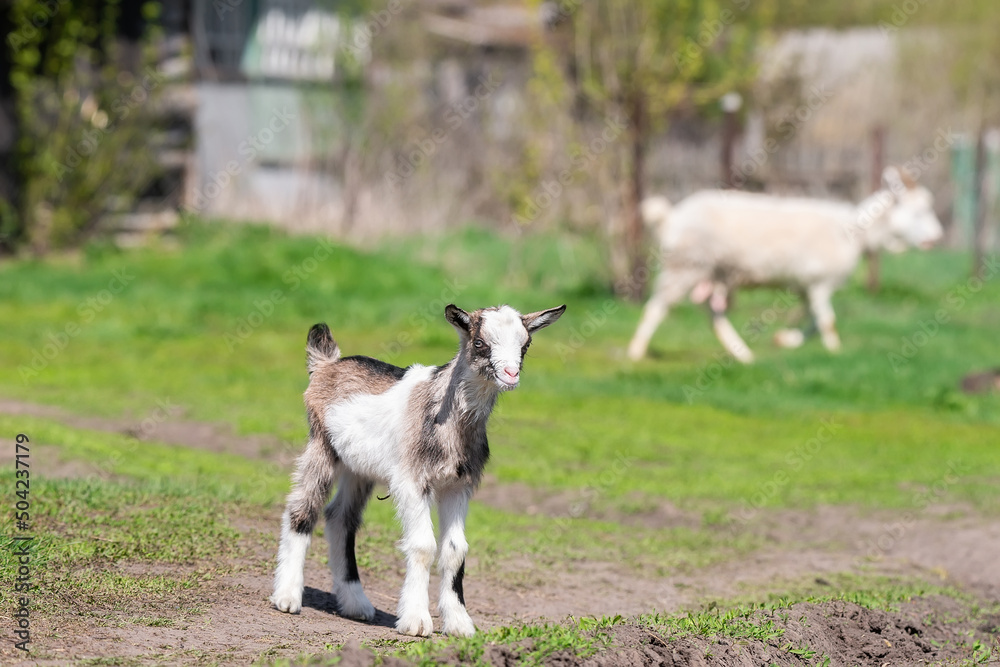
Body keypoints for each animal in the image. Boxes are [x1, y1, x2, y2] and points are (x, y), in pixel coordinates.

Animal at [270, 303, 566, 637]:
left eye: (525, 344)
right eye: (479, 342)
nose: (511, 374)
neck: (444, 413)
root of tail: (327, 364)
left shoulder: (458, 485)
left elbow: (455, 549)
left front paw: (459, 623)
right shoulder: (412, 480)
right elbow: (424, 545)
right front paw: (416, 621)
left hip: (358, 468)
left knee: (340, 518)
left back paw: (357, 603)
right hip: (322, 445)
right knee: (302, 508)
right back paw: (287, 597)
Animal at [627, 167, 943, 363]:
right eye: (919, 212)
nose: (938, 238)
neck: (857, 231)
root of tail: (671, 216)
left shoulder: (806, 286)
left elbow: (814, 322)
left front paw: (785, 339)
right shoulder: (819, 282)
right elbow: (827, 321)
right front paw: (835, 351)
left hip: (712, 271)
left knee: (713, 314)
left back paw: (743, 354)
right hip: (685, 265)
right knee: (657, 308)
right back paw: (635, 351)